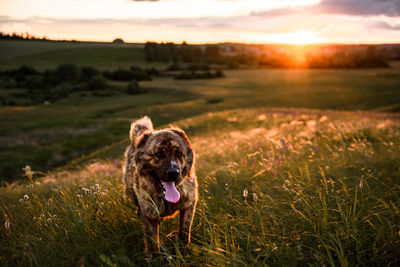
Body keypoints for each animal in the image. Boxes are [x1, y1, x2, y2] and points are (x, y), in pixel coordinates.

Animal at [122, 117, 197, 255]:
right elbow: (152, 243)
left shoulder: (189, 204)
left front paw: (183, 248)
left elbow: (184, 231)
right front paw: (156, 257)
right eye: (158, 154)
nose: (173, 173)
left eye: (179, 153)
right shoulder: (149, 215)